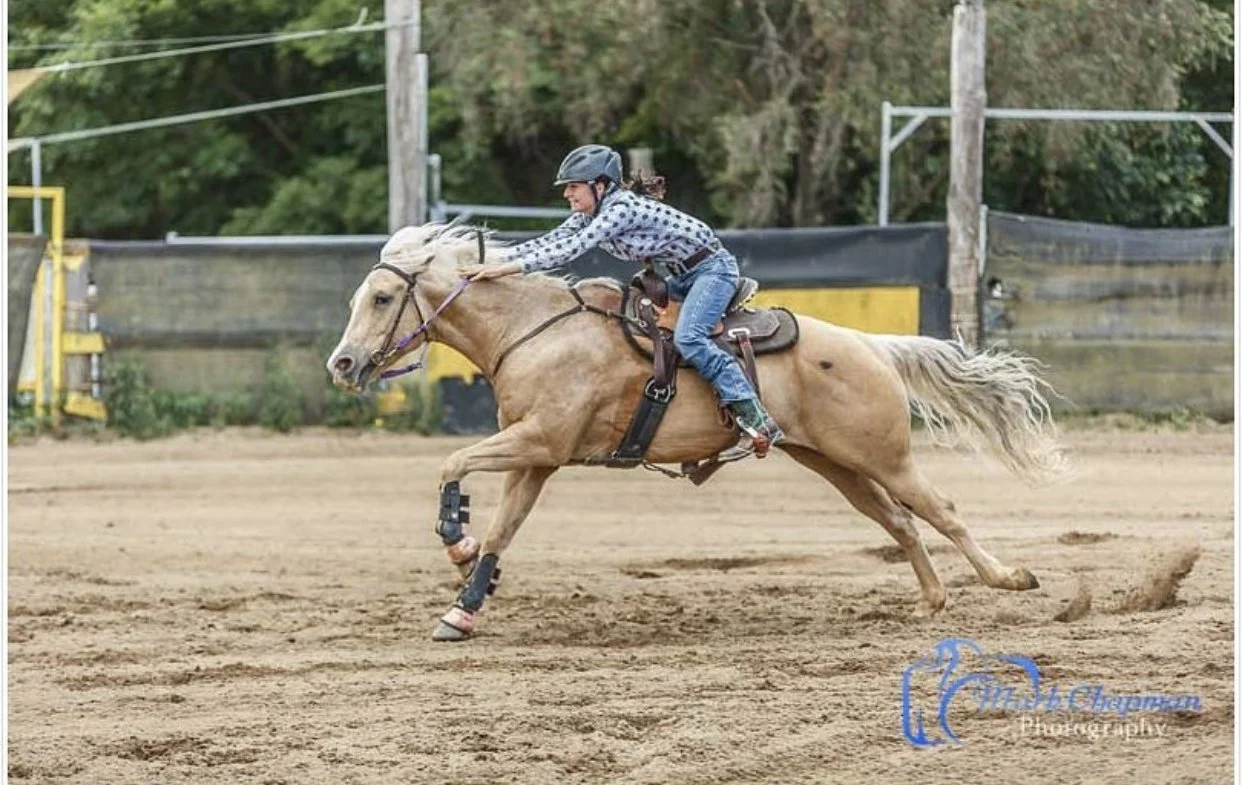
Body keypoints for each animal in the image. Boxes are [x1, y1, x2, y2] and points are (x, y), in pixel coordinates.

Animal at [326, 224, 1067, 642]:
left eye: (384, 298)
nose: (343, 363)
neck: (534, 331)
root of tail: (870, 345)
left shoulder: (539, 442)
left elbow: (450, 462)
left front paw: (456, 542)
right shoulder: (538, 457)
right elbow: (504, 531)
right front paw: (463, 605)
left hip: (884, 456)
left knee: (942, 509)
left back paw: (1011, 578)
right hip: (836, 464)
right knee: (900, 522)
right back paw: (933, 600)